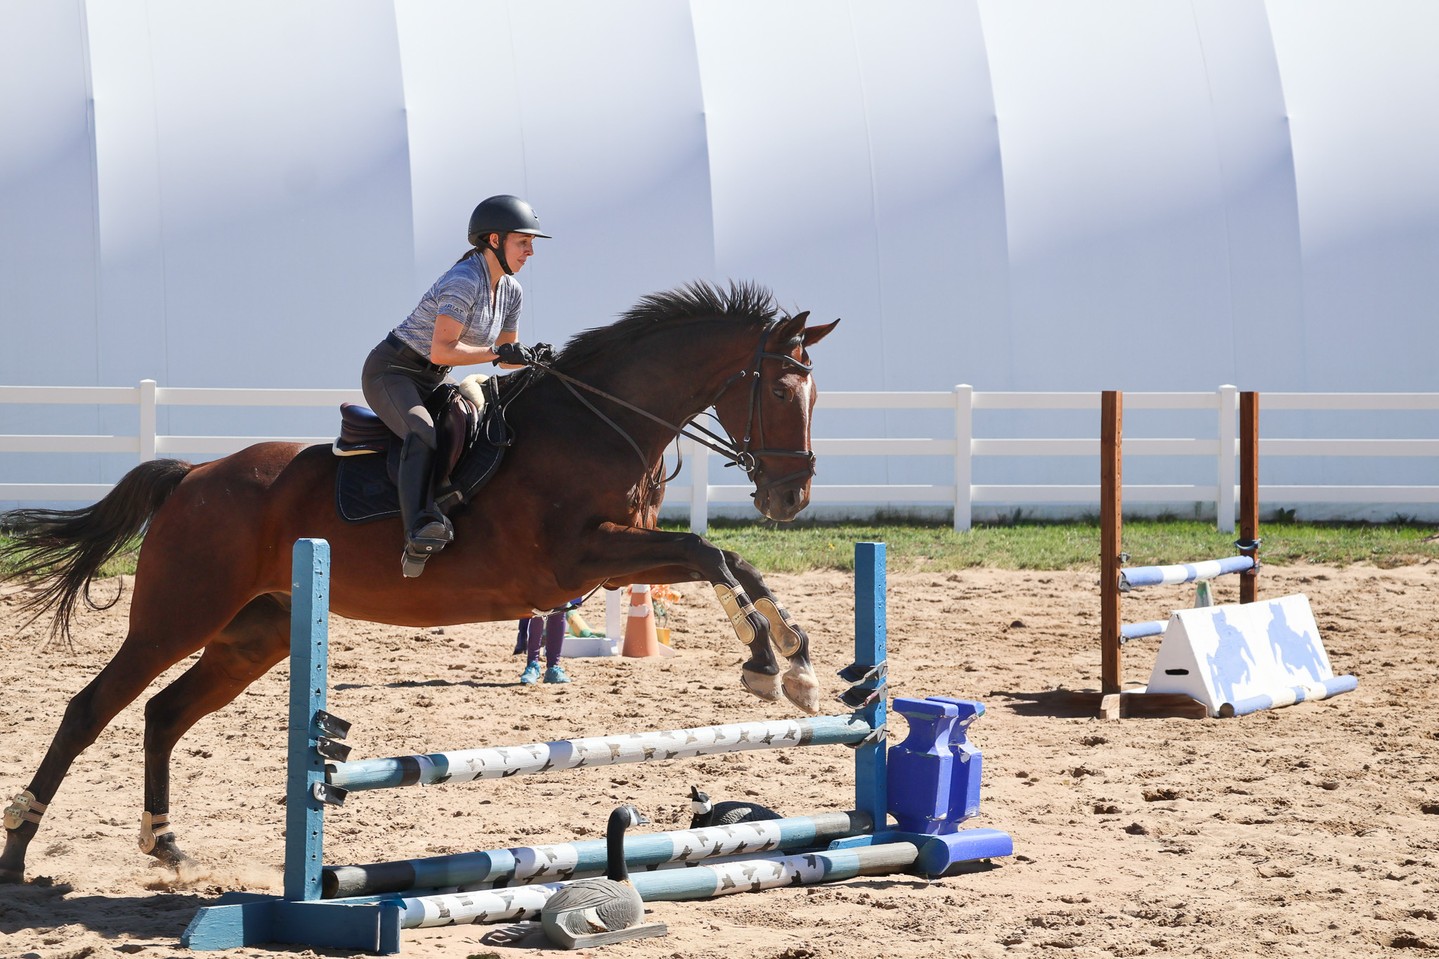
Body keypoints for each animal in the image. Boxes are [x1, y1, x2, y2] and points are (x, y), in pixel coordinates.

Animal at [0, 280, 838, 884]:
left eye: (813, 395)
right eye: (778, 390)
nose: (789, 497)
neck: (596, 423)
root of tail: (192, 475)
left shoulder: (616, 559)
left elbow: (726, 559)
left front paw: (797, 662)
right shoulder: (577, 559)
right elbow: (705, 551)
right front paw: (765, 664)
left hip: (253, 634)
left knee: (163, 714)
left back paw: (166, 843)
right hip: (178, 614)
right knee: (90, 708)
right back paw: (17, 850)